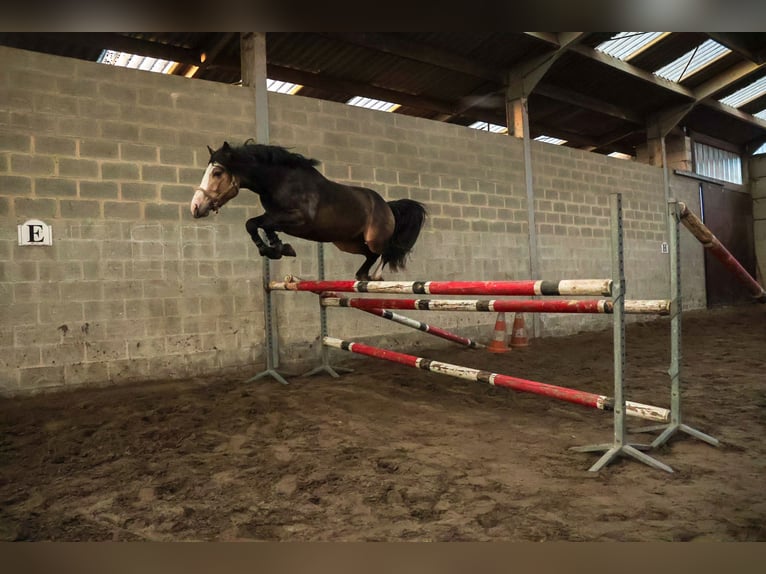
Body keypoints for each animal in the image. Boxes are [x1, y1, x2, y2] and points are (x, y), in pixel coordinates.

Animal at [190, 142, 428, 282]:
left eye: (217, 173)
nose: (195, 207)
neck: (279, 181)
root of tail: (387, 205)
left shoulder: (299, 219)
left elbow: (258, 223)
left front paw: (277, 249)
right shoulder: (275, 216)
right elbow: (256, 224)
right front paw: (278, 249)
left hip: (373, 238)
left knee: (386, 251)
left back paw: (376, 276)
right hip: (348, 243)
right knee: (371, 255)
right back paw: (363, 276)